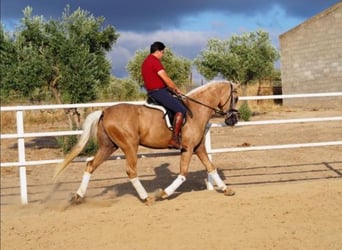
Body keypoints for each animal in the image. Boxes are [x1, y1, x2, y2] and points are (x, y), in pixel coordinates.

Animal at [54, 80, 240, 205]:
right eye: (236, 98)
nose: (233, 119)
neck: (196, 110)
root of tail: (105, 111)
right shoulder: (187, 148)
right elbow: (183, 174)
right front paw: (163, 194)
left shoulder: (198, 147)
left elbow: (211, 167)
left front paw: (226, 189)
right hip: (130, 146)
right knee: (131, 171)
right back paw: (147, 198)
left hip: (108, 147)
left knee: (90, 165)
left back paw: (78, 196)